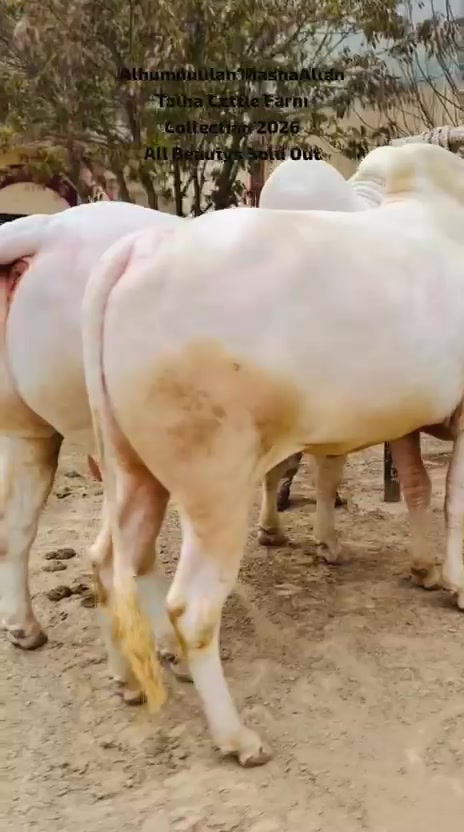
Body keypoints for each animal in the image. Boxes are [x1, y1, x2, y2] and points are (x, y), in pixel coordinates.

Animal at [81, 142, 464, 766]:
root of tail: (140, 248)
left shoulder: (408, 420)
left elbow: (417, 488)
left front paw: (425, 570)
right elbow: (453, 499)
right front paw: (456, 583)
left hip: (134, 473)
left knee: (107, 566)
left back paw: (126, 681)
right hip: (215, 488)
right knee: (191, 608)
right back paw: (236, 737)